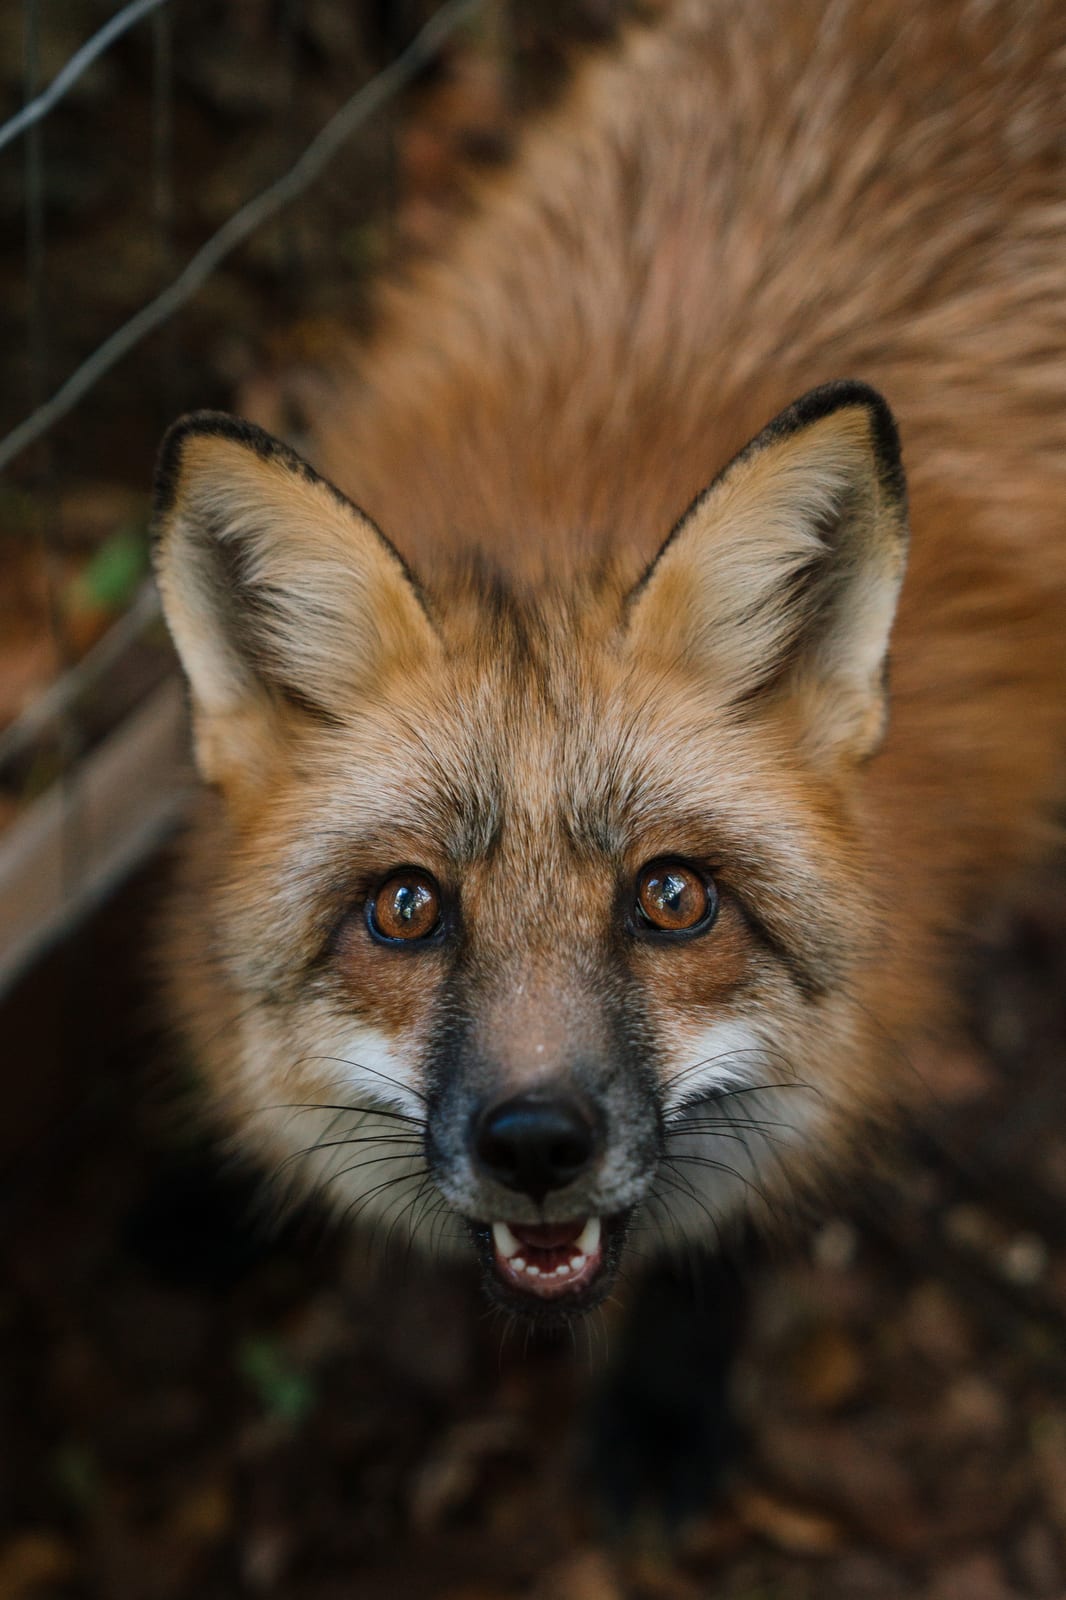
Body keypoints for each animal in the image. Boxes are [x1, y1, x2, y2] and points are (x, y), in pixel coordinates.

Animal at [151, 0, 1066, 1526]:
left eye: (674, 899)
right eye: (405, 908)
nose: (535, 1145)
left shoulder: (855, 1034)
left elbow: (736, 1216)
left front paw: (667, 1399)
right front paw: (221, 1192)